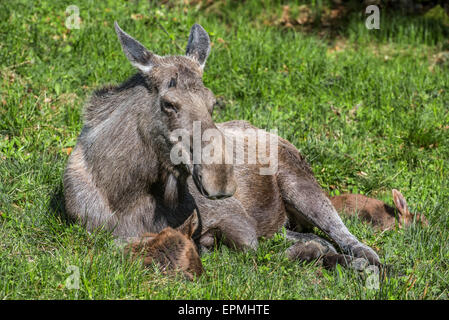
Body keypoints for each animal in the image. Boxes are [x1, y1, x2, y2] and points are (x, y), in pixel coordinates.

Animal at [62, 22, 378, 266]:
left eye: (212, 102)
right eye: (168, 103)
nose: (220, 180)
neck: (123, 192)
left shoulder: (232, 215)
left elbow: (252, 250)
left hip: (301, 185)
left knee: (348, 238)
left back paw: (359, 261)